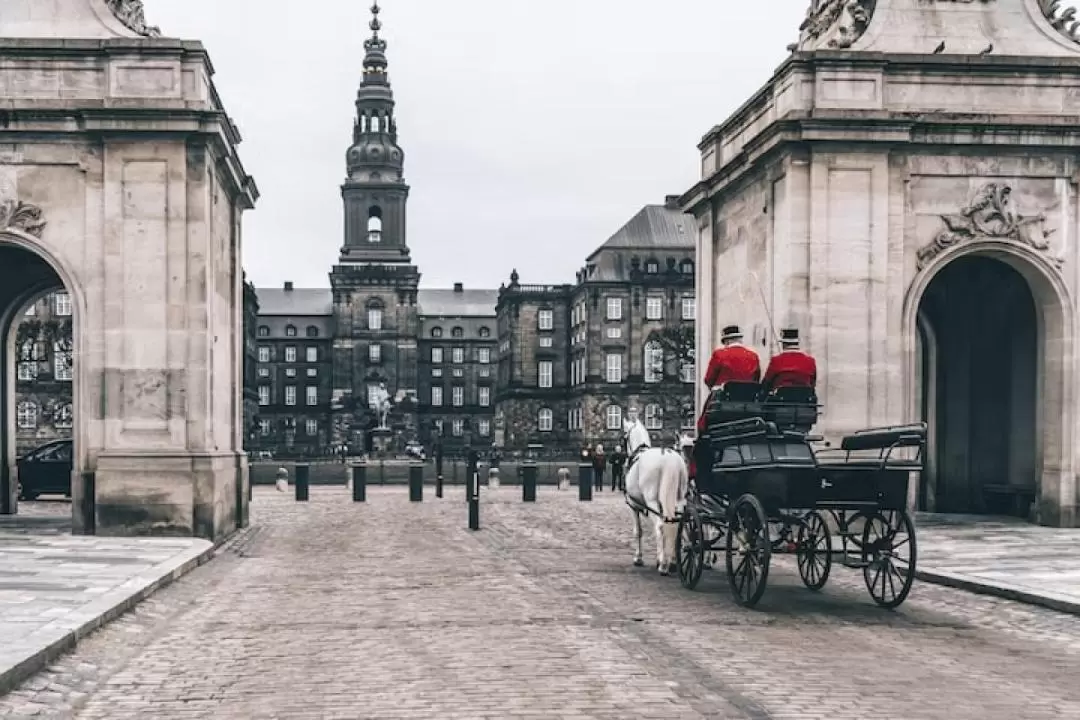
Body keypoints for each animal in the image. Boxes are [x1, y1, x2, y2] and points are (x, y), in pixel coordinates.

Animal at [622, 416, 686, 574]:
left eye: (624, 436)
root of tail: (669, 457)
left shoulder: (634, 506)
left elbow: (638, 531)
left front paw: (639, 558)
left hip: (652, 502)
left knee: (660, 526)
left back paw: (663, 564)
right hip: (679, 500)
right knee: (676, 525)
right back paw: (672, 562)